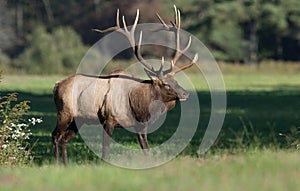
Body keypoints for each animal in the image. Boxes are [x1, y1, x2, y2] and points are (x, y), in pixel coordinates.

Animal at [51, 5, 198, 165]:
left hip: (79, 119)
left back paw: (66, 165)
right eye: (166, 84)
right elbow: (106, 149)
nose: (185, 94)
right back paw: (57, 165)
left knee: (64, 139)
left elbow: (147, 150)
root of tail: (57, 85)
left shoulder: (140, 125)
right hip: (64, 112)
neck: (138, 106)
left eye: (176, 81)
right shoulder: (108, 119)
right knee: (55, 136)